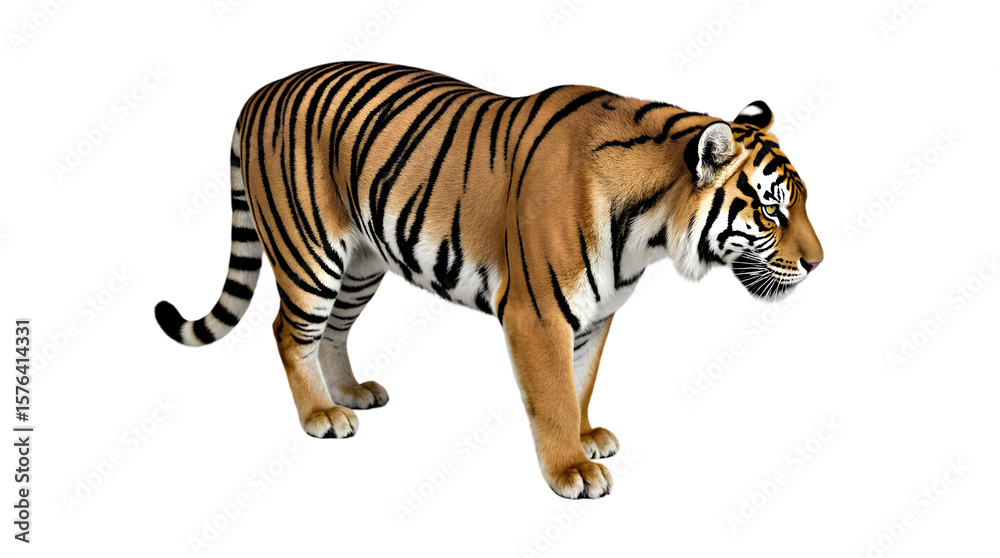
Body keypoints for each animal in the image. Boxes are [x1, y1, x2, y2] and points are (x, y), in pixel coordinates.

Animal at [156, 61, 823, 499]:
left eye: (802, 202)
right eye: (772, 210)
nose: (819, 263)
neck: (650, 231)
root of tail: (262, 90)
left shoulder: (597, 314)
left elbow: (580, 383)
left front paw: (587, 437)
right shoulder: (538, 314)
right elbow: (551, 395)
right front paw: (572, 471)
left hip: (363, 261)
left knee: (333, 332)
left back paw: (350, 394)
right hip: (310, 253)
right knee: (288, 330)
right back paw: (322, 414)